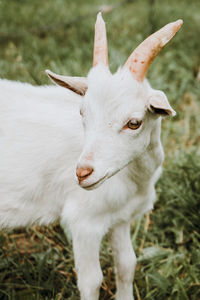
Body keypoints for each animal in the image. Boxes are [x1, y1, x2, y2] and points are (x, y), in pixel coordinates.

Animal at [0, 13, 182, 300]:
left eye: (134, 122)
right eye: (82, 112)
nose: (83, 172)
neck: (134, 179)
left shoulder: (121, 216)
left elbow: (127, 264)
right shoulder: (85, 222)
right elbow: (91, 281)